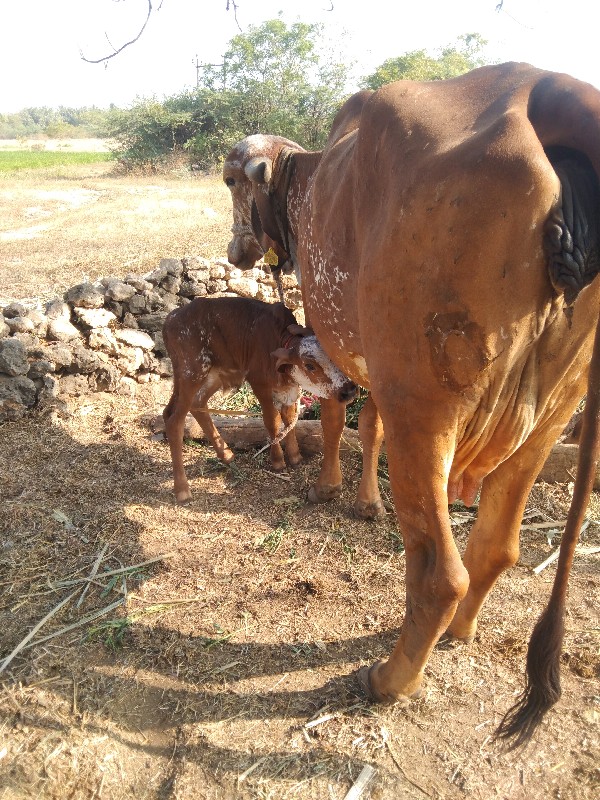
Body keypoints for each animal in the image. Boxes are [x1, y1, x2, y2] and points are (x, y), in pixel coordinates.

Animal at [162, 296, 356, 504]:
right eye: (310, 366)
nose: (350, 390)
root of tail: (170, 318)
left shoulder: (289, 390)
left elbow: (289, 419)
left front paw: (295, 456)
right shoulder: (259, 384)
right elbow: (272, 421)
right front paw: (278, 461)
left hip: (213, 374)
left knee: (195, 404)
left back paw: (226, 454)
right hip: (191, 371)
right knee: (174, 420)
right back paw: (182, 489)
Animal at [224, 64, 600, 752]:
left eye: (232, 181)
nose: (236, 249)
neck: (309, 183)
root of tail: (550, 88)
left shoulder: (338, 336)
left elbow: (340, 415)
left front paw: (330, 488)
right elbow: (366, 422)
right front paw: (366, 500)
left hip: (424, 404)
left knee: (439, 572)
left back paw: (390, 679)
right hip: (553, 411)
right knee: (496, 546)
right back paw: (458, 633)